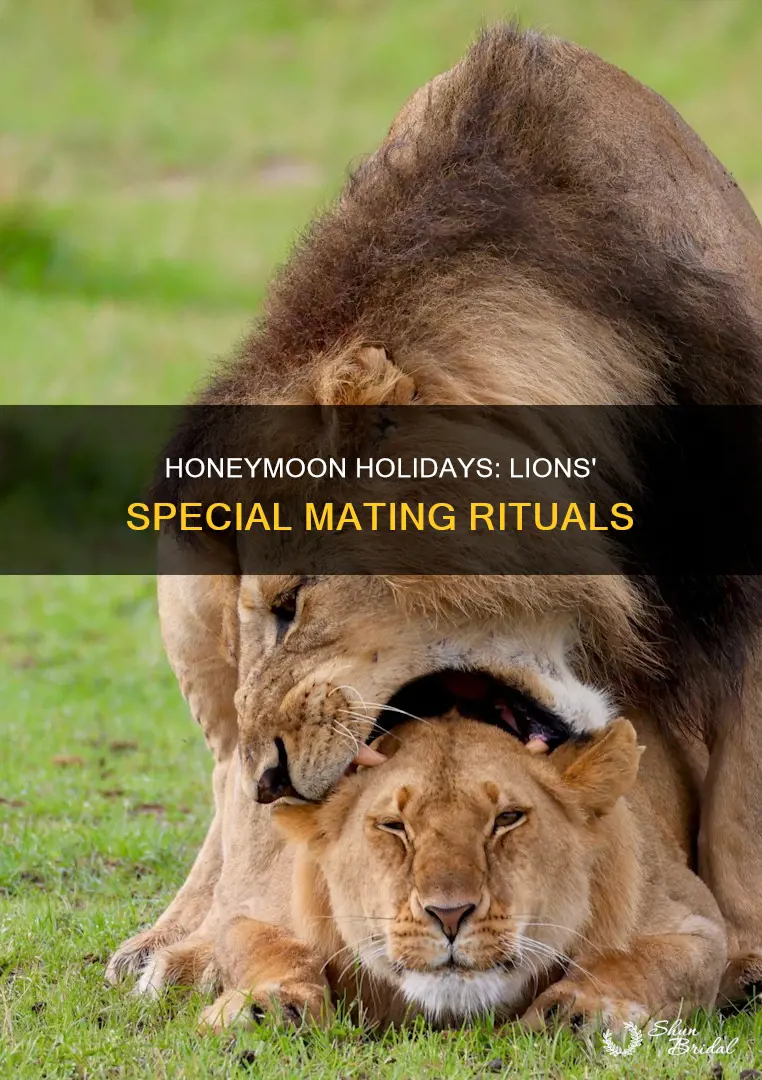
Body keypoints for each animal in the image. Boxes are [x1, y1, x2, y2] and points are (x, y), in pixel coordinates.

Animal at [107, 24, 762, 1000]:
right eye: (264, 606)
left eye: (294, 601)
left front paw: (750, 956)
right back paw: (175, 946)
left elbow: (740, 796)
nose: (275, 779)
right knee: (225, 792)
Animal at [186, 710, 726, 1033]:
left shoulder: (694, 922)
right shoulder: (256, 911)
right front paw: (264, 1006)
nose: (449, 915)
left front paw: (583, 1010)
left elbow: (635, 960)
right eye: (394, 826)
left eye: (507, 818)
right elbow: (271, 948)